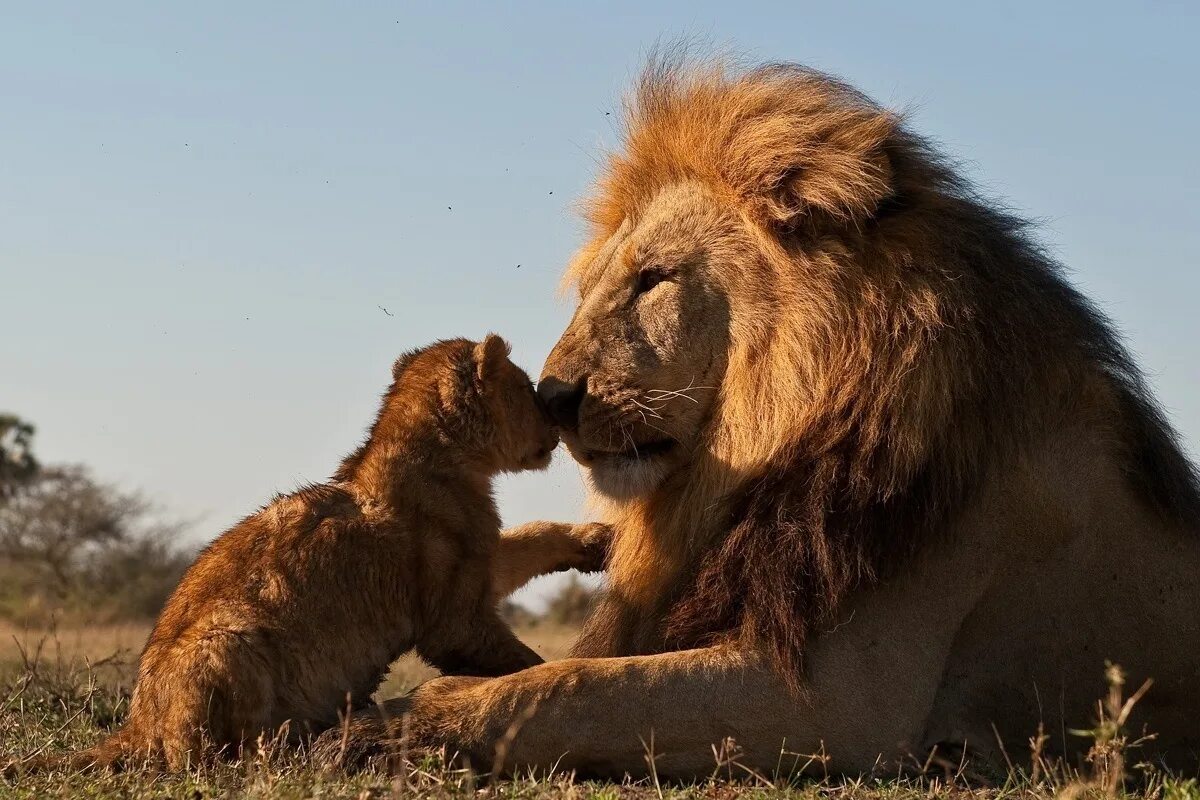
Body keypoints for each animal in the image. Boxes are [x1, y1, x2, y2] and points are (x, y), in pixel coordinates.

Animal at [331, 59, 1200, 777]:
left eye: (654, 279)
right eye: (589, 289)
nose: (554, 395)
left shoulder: (842, 703)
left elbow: (565, 689)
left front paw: (392, 723)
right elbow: (568, 676)